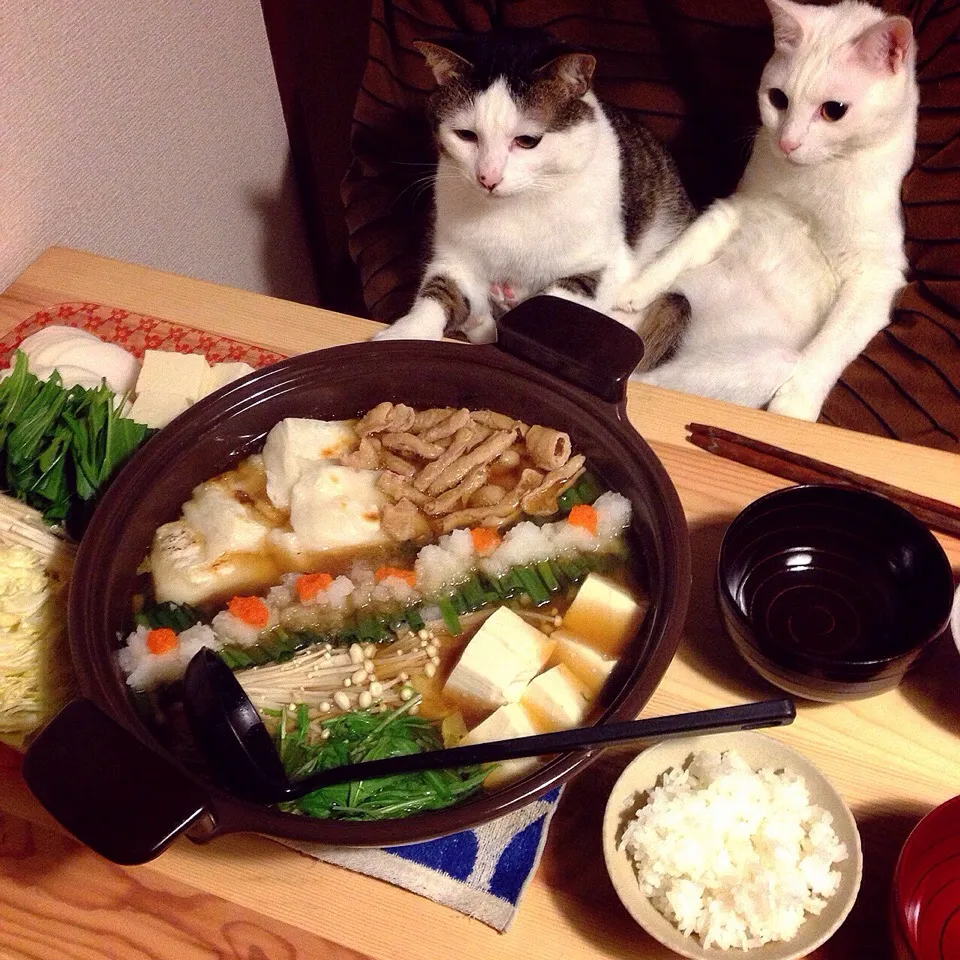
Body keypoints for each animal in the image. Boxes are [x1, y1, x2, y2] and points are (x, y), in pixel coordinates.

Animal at [372, 28, 692, 354]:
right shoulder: (454, 257)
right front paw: (404, 335)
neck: (514, 209)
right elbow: (439, 292)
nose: (488, 178)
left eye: (527, 141)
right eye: (465, 135)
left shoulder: (606, 265)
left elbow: (550, 302)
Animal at [620, 0, 920, 420]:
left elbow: (829, 346)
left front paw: (795, 405)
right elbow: (680, 250)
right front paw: (637, 286)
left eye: (834, 110)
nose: (787, 143)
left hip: (768, 361)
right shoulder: (734, 209)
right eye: (778, 99)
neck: (810, 186)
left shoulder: (876, 277)